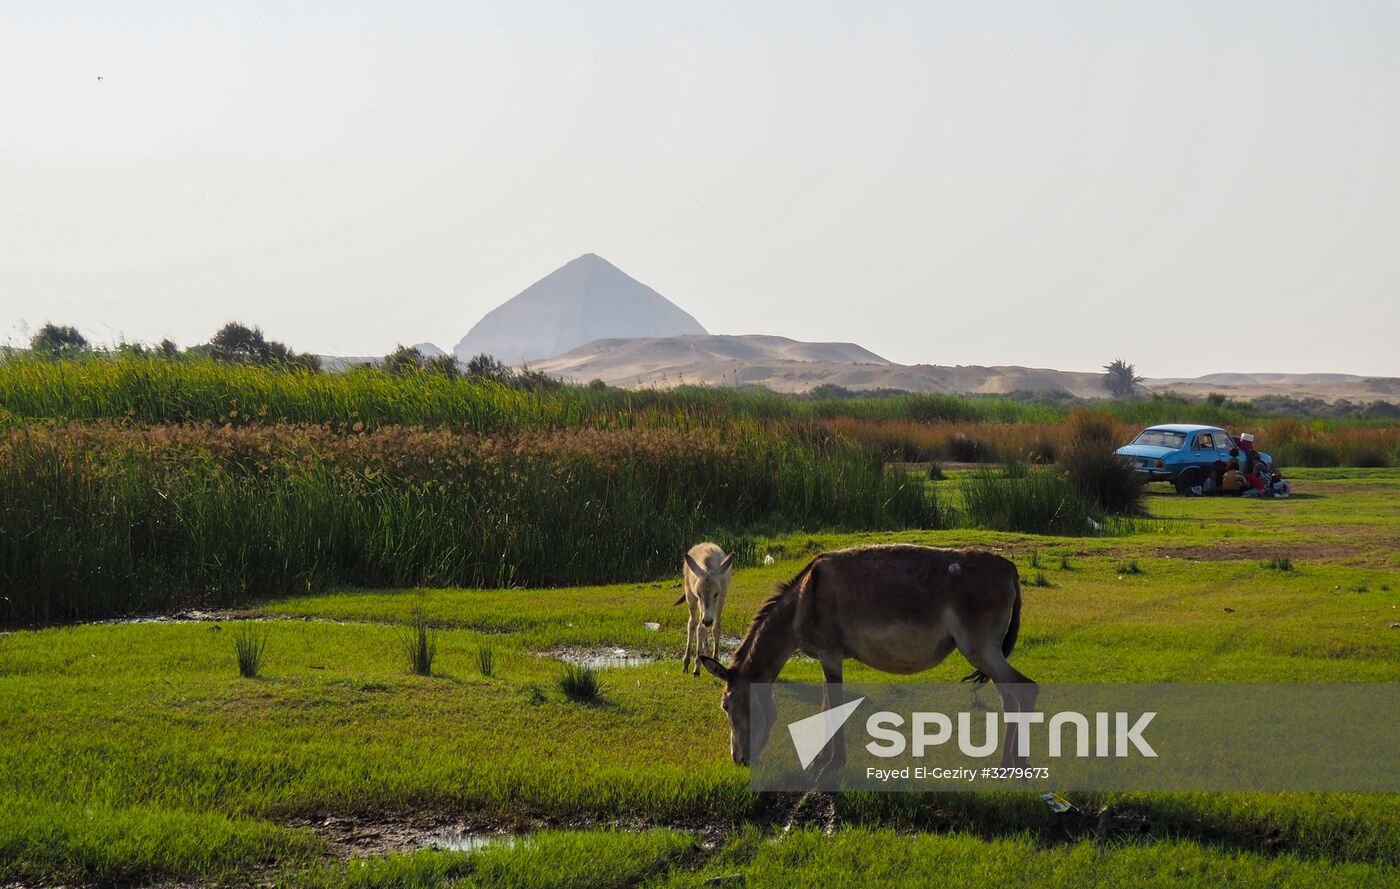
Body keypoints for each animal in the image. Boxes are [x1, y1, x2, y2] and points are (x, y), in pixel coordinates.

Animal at [677, 543, 733, 674]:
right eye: (699, 593)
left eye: (716, 594)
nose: (707, 621)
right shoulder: (698, 600)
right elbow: (700, 628)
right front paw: (697, 666)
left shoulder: (721, 599)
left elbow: (716, 628)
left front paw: (715, 659)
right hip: (690, 596)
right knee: (693, 625)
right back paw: (687, 663)